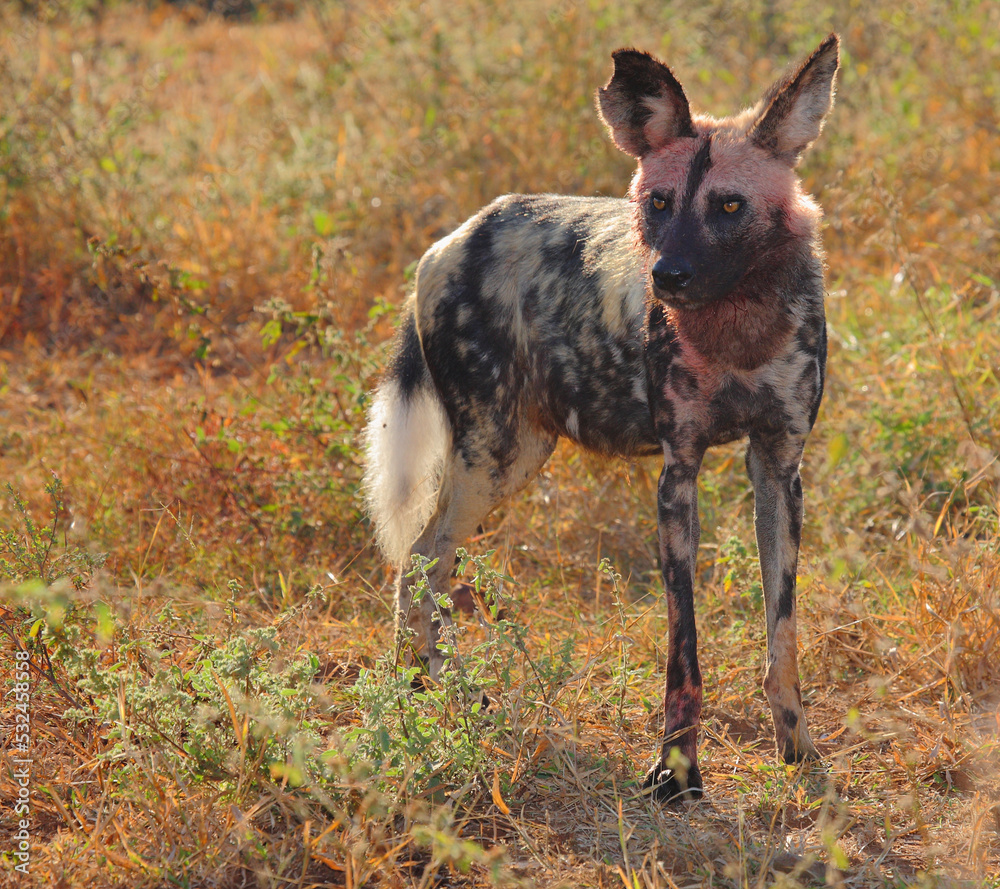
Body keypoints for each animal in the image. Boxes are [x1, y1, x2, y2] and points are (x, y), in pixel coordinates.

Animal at [364, 34, 839, 801]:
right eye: (659, 202)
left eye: (729, 205)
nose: (667, 276)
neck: (738, 326)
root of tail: (451, 241)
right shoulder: (678, 477)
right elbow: (685, 652)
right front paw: (677, 770)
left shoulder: (779, 469)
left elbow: (782, 638)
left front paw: (798, 752)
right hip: (486, 459)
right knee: (419, 561)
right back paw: (430, 692)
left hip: (520, 454)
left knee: (427, 564)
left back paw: (427, 691)